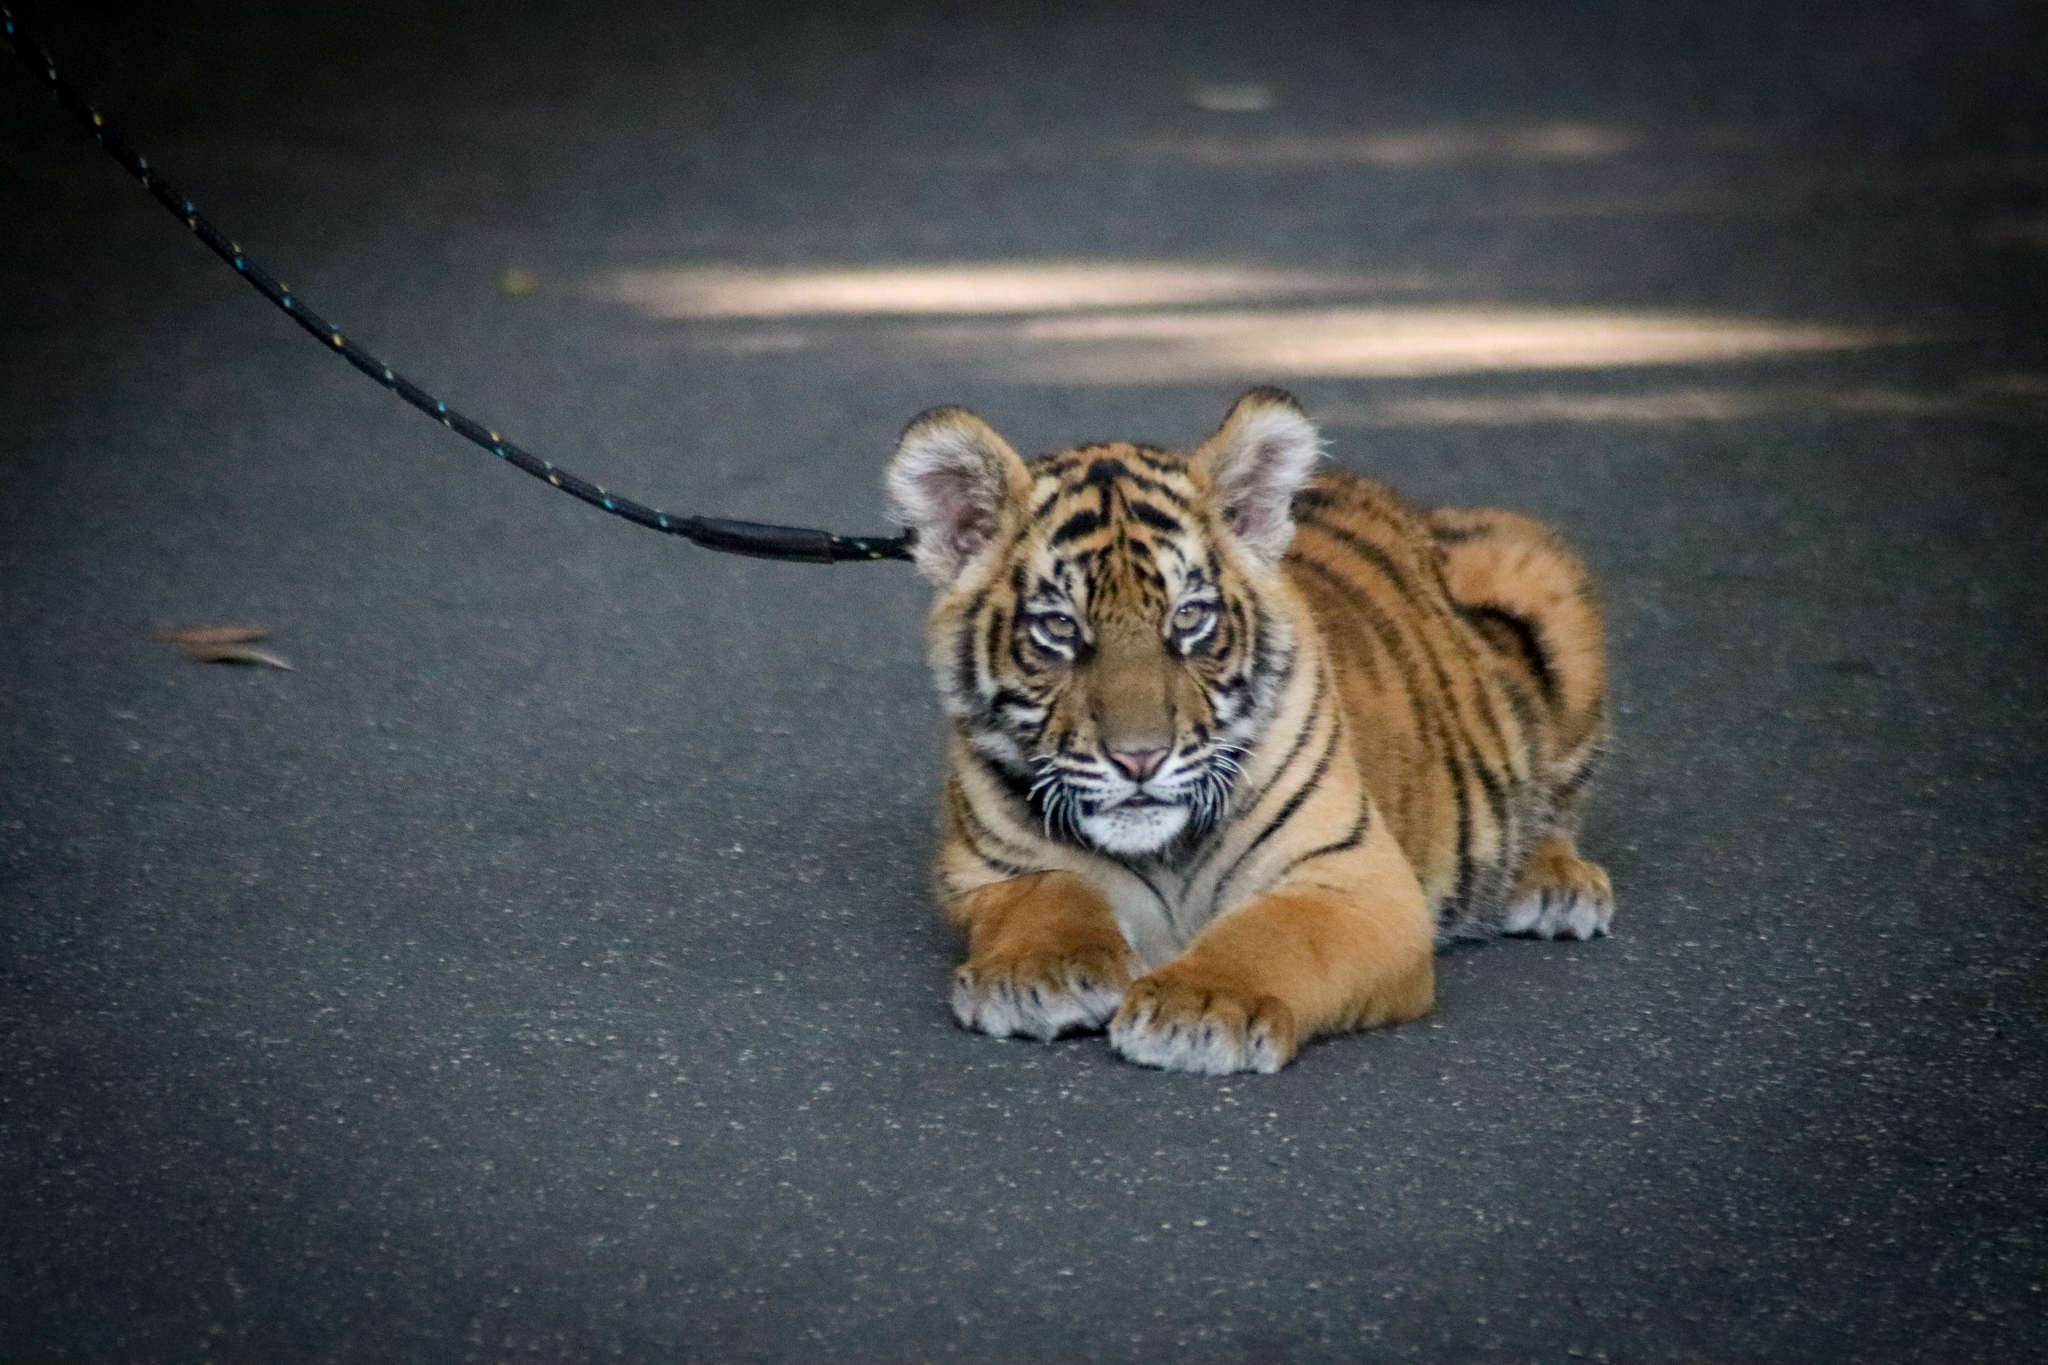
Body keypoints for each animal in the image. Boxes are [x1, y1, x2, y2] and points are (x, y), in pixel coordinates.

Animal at [884, 387, 1612, 1075]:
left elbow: (1274, 935)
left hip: (1535, 568)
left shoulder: (1355, 876)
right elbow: (1049, 895)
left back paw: (1553, 885)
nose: (1140, 759)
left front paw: (1202, 1006)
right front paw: (1036, 975)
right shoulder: (990, 870)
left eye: (1189, 618)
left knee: (1557, 806)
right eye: (1059, 627)